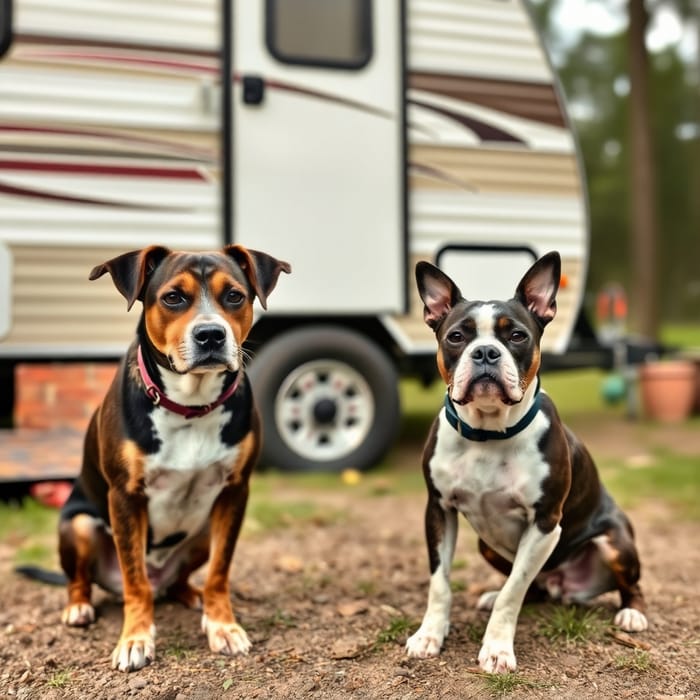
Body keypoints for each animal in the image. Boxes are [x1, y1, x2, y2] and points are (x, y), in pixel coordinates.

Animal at [58, 243, 290, 668]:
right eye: (173, 297)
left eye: (234, 295)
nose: (211, 334)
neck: (190, 406)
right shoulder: (125, 496)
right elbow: (135, 581)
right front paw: (135, 639)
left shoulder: (235, 492)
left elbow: (220, 571)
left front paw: (222, 625)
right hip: (78, 524)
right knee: (86, 579)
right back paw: (79, 607)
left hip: (201, 535)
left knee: (180, 579)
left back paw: (192, 597)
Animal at [408, 253, 648, 672]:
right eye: (456, 337)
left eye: (517, 336)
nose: (485, 352)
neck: (488, 433)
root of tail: (562, 585)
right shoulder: (438, 510)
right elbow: (441, 583)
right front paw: (430, 635)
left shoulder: (545, 523)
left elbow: (514, 590)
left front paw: (497, 648)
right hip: (487, 545)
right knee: (532, 588)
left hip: (615, 543)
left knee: (631, 585)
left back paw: (632, 614)